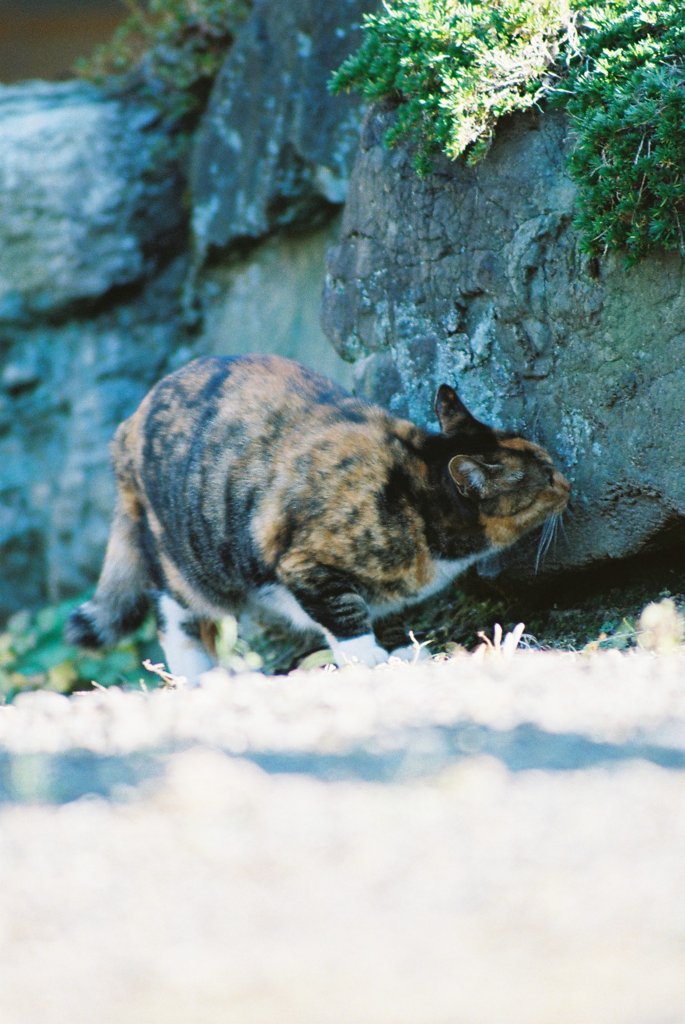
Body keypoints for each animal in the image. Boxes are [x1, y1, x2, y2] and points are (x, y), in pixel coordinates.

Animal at [63, 354, 569, 679]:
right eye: (545, 474)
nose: (568, 482)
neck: (413, 486)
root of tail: (125, 431)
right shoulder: (305, 562)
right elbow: (344, 613)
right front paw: (374, 659)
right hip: (196, 563)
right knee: (174, 613)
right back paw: (200, 674)